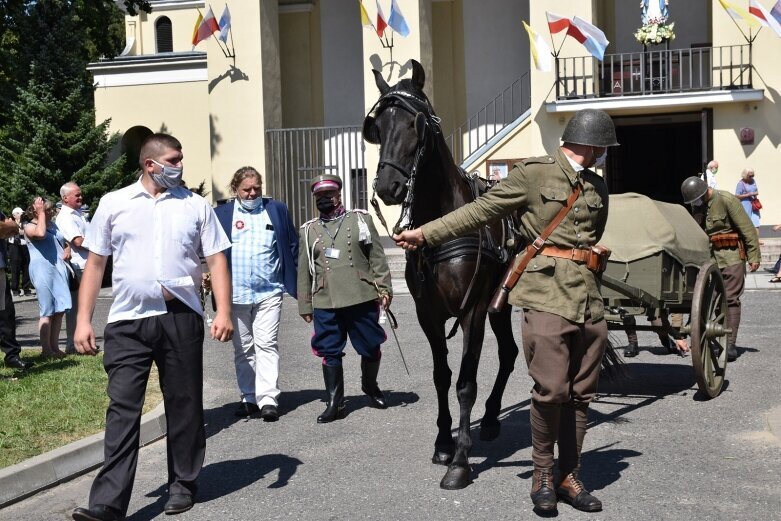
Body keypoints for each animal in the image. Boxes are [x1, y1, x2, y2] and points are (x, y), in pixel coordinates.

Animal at [364, 61, 516, 488]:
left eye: (416, 124)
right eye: (378, 128)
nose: (389, 186)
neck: (443, 224)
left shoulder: (473, 311)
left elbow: (465, 383)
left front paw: (461, 460)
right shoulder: (427, 315)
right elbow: (441, 376)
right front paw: (444, 442)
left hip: (498, 305)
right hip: (498, 306)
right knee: (509, 352)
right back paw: (492, 418)